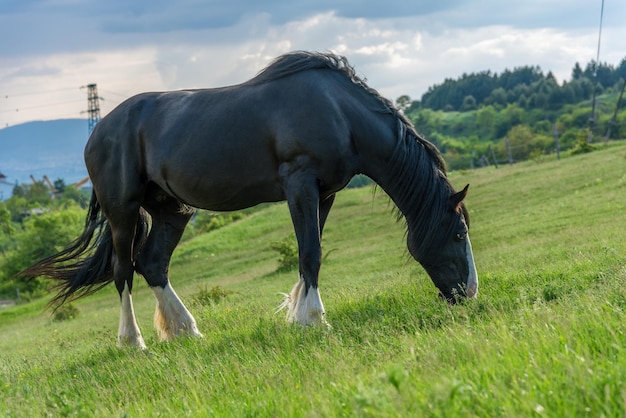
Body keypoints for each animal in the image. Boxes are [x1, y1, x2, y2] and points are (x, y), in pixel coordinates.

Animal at [20, 50, 478, 348]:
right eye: (458, 235)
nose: (468, 294)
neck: (339, 112)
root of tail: (99, 130)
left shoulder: (325, 193)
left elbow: (310, 253)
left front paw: (299, 315)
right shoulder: (300, 185)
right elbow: (309, 253)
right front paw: (314, 321)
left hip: (173, 209)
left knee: (152, 264)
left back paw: (185, 330)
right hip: (123, 210)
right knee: (122, 271)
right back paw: (133, 342)